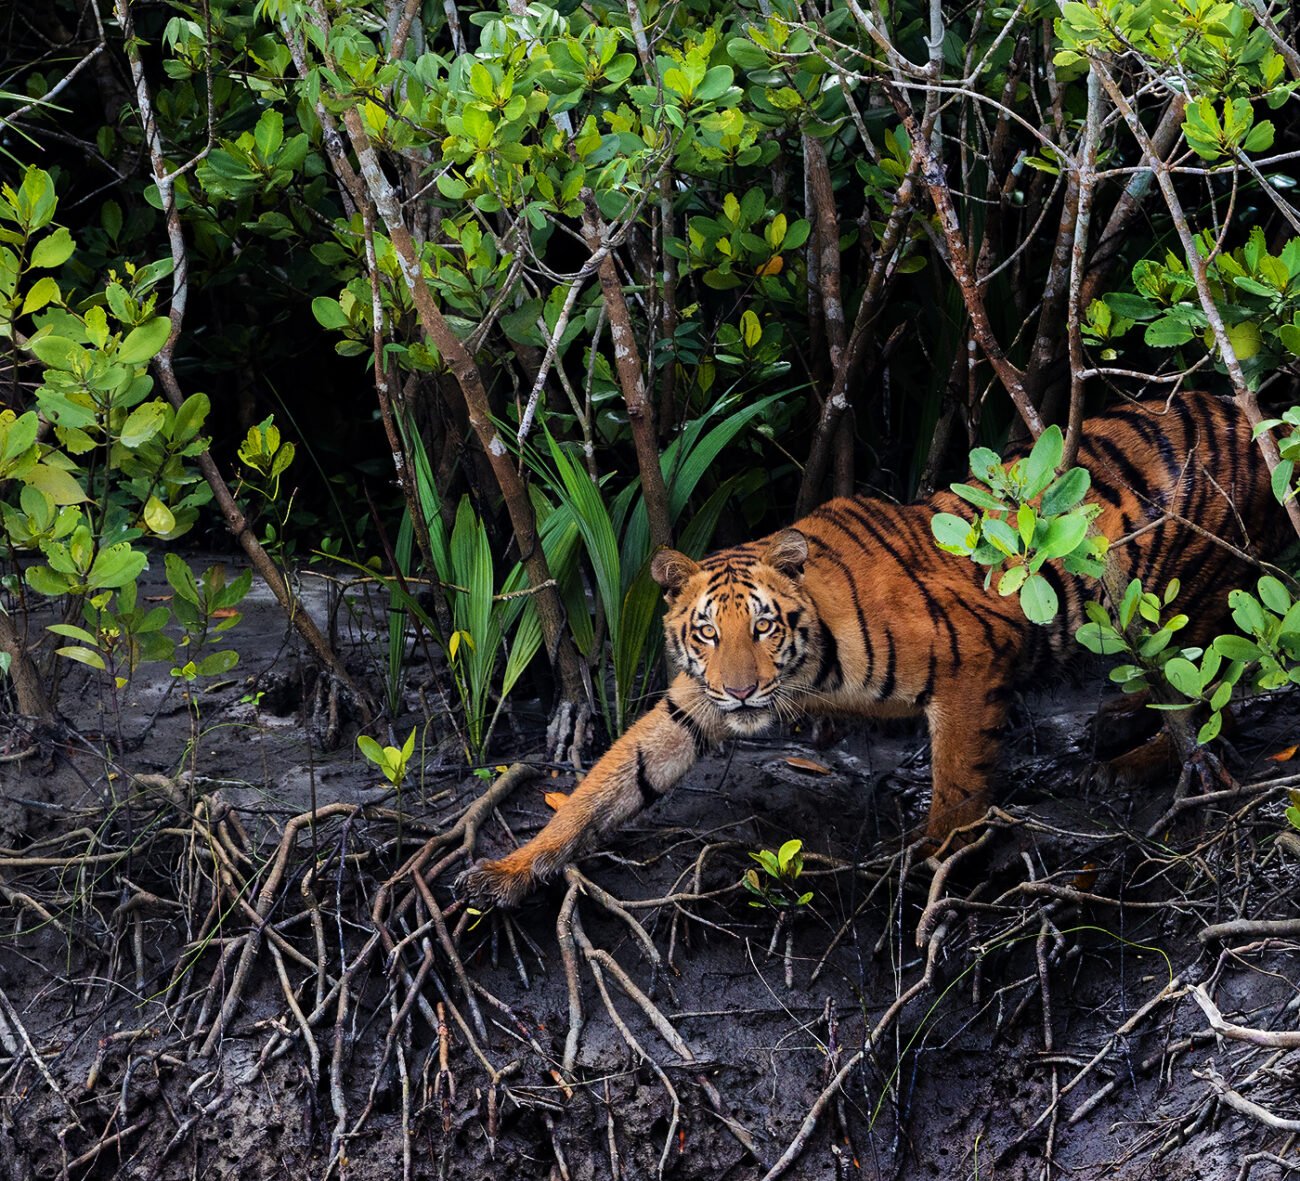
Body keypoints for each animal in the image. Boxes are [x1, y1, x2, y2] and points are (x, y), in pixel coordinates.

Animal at [459, 392, 1286, 909]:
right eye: (707, 631)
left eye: (764, 626)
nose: (741, 693)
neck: (809, 673)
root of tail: (1236, 408)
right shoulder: (689, 701)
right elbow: (605, 783)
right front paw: (510, 868)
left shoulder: (973, 657)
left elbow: (958, 781)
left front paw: (933, 862)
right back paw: (1117, 724)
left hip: (1192, 592)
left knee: (1212, 694)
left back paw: (1129, 762)